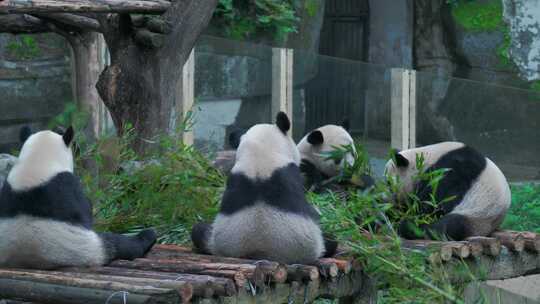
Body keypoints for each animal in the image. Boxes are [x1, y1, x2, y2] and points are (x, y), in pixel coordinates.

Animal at [0, 127, 156, 270]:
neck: (37, 162)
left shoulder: (7, 186)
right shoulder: (67, 187)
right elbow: (85, 211)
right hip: (87, 248)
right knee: (119, 244)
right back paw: (147, 236)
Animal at [192, 111, 336, 264]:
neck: (259, 156)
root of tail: (259, 252)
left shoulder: (234, 179)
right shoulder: (290, 175)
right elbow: (311, 210)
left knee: (197, 231)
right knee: (330, 240)